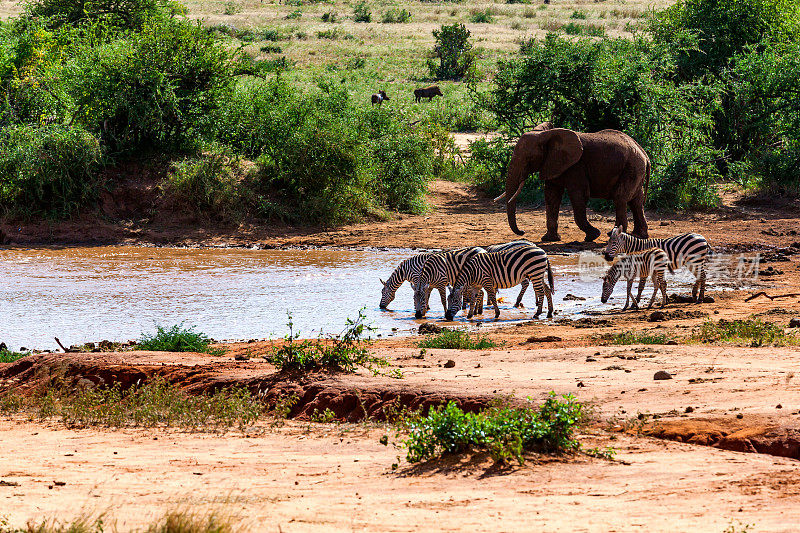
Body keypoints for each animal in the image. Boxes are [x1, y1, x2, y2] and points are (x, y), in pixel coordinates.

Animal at [494, 122, 648, 241]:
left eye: (529, 159)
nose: (522, 232)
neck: (545, 135)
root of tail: (644, 154)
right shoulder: (553, 163)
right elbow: (551, 196)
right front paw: (549, 239)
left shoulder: (576, 166)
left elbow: (578, 195)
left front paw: (593, 236)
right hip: (635, 169)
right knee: (636, 201)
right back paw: (639, 235)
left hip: (632, 167)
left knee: (620, 198)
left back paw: (612, 235)